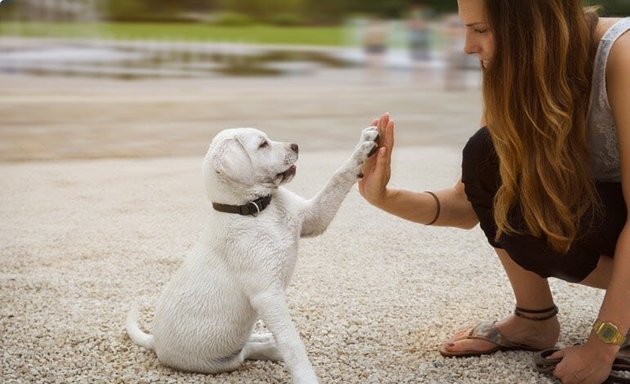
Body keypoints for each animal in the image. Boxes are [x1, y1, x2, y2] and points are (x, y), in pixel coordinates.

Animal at [126, 127, 378, 384]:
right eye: (262, 145)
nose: (295, 145)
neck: (256, 209)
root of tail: (154, 342)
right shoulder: (268, 295)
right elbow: (292, 343)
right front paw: (306, 377)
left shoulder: (313, 217)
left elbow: (337, 177)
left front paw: (364, 146)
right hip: (220, 361)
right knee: (246, 351)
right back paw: (270, 347)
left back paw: (266, 339)